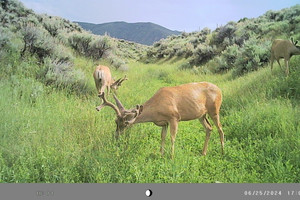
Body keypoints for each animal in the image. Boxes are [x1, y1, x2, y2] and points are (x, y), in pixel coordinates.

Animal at [96, 81, 225, 159]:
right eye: (116, 121)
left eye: (126, 124)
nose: (116, 136)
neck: (157, 107)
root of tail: (219, 89)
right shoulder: (164, 123)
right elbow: (162, 137)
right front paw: (161, 154)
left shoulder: (174, 118)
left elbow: (172, 138)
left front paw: (171, 157)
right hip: (201, 115)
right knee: (209, 128)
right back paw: (203, 153)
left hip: (214, 110)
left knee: (220, 129)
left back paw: (223, 152)